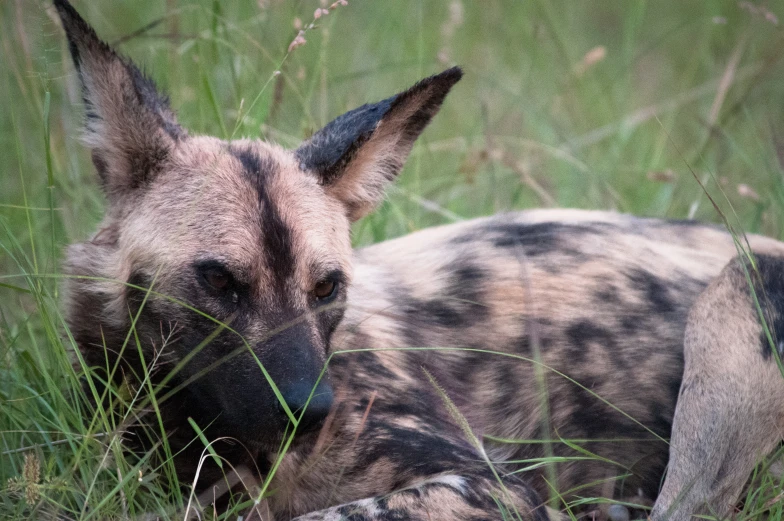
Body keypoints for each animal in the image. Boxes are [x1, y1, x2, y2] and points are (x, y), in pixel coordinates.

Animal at [56, 1, 784, 520]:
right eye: (217, 279)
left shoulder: (495, 486)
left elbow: (329, 513)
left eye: (327, 287)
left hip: (736, 298)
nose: (310, 411)